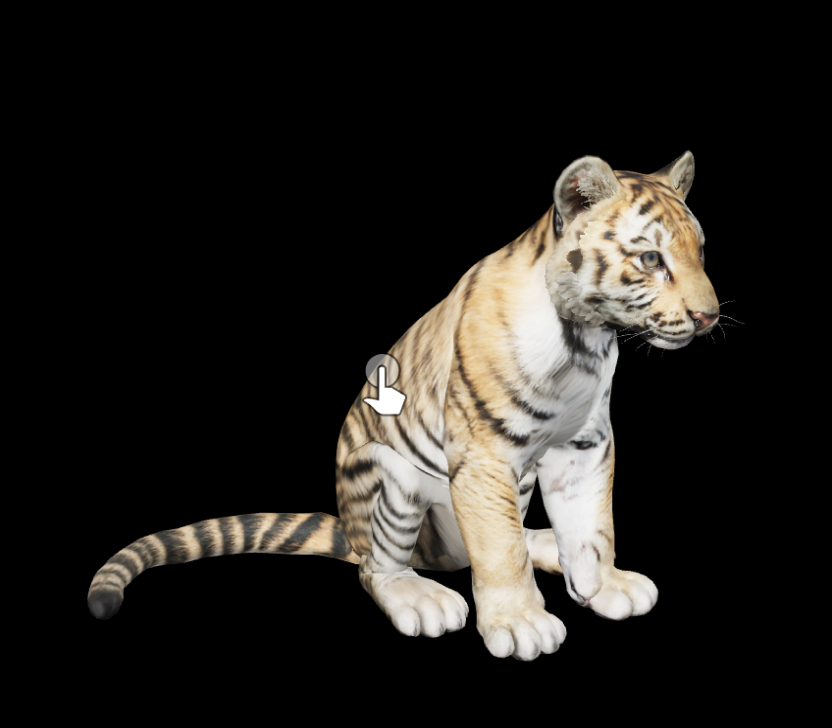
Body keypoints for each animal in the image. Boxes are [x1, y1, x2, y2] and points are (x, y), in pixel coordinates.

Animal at [88, 151, 719, 661]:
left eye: (701, 252)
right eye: (651, 260)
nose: (709, 316)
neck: (585, 338)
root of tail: (349, 529)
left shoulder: (584, 443)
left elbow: (593, 524)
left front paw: (603, 585)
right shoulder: (485, 455)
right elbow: (500, 549)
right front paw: (521, 623)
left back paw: (544, 546)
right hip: (390, 480)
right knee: (381, 568)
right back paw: (423, 598)